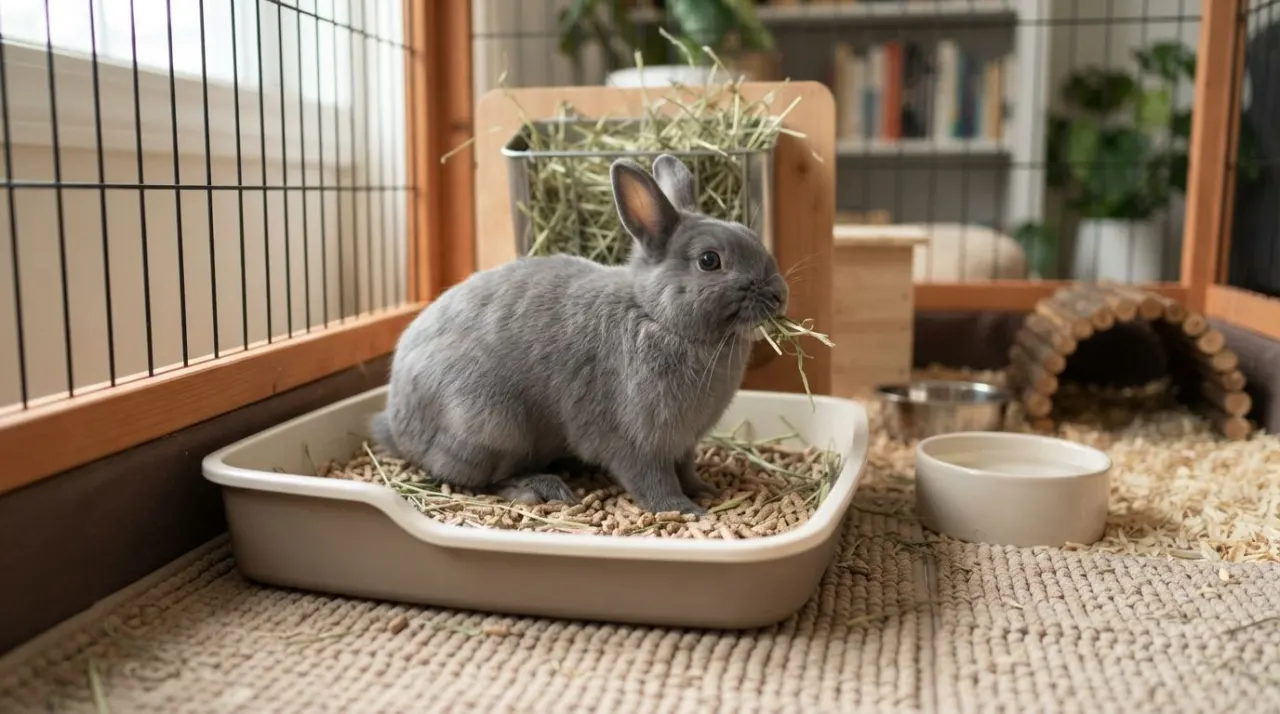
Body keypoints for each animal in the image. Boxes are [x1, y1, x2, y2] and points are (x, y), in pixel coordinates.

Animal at [370, 153, 789, 515]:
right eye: (709, 261)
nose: (779, 294)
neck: (655, 315)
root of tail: (396, 423)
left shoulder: (684, 444)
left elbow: (686, 471)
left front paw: (706, 490)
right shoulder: (637, 442)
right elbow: (654, 483)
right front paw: (685, 510)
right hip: (490, 426)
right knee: (477, 479)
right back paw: (538, 488)